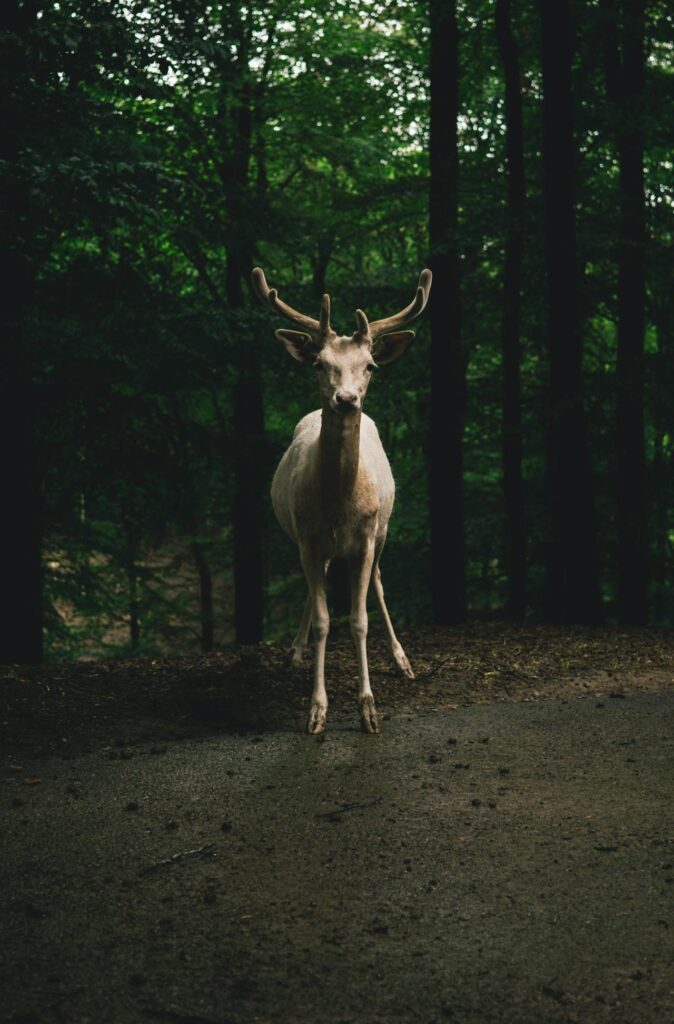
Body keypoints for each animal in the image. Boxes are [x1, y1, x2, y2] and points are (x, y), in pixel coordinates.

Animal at [251, 266, 432, 735]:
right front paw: (317, 709)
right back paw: (294, 653)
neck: (338, 507)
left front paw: (369, 708)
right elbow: (323, 621)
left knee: (380, 584)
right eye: (319, 363)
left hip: (384, 529)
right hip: (306, 541)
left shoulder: (366, 537)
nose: (346, 399)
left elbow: (359, 619)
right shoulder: (308, 539)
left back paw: (403, 660)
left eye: (369, 365)